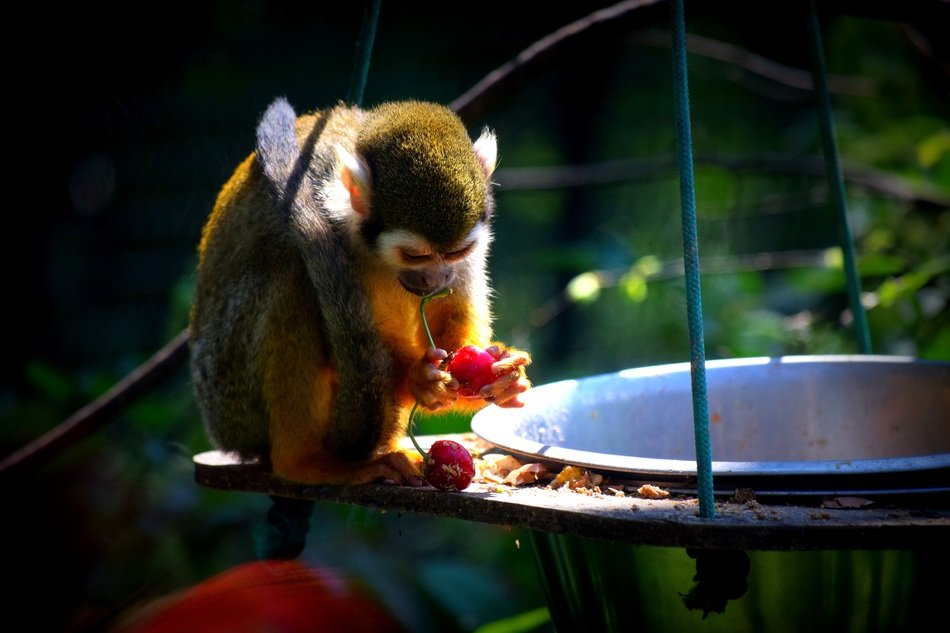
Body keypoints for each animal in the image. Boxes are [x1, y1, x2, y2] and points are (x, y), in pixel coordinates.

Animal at [189, 98, 531, 486]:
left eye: (457, 252)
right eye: (415, 255)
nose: (437, 279)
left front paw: (500, 376)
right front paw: (419, 378)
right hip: (231, 397)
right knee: (292, 279)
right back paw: (306, 462)